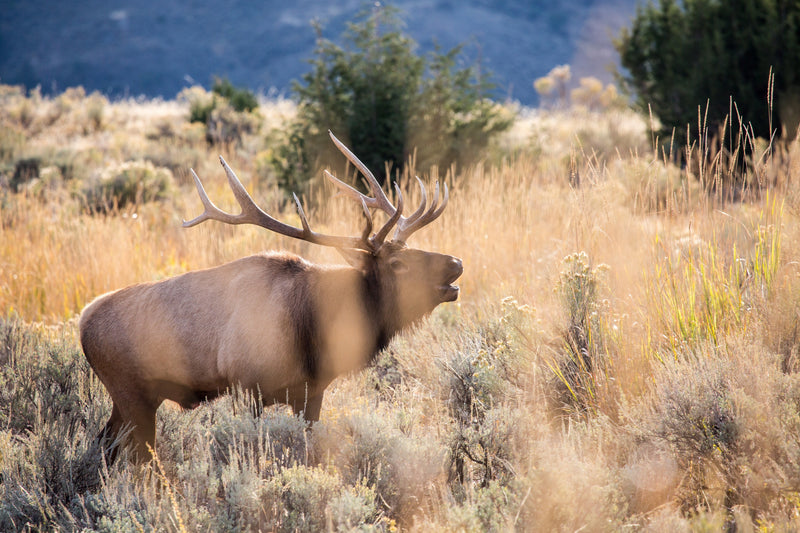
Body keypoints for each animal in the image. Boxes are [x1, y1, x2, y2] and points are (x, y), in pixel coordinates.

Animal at [79, 131, 463, 463]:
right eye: (398, 263)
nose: (455, 263)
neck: (313, 331)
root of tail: (82, 322)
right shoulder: (246, 385)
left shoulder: (311, 392)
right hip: (129, 391)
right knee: (135, 455)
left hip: (135, 397)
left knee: (105, 442)